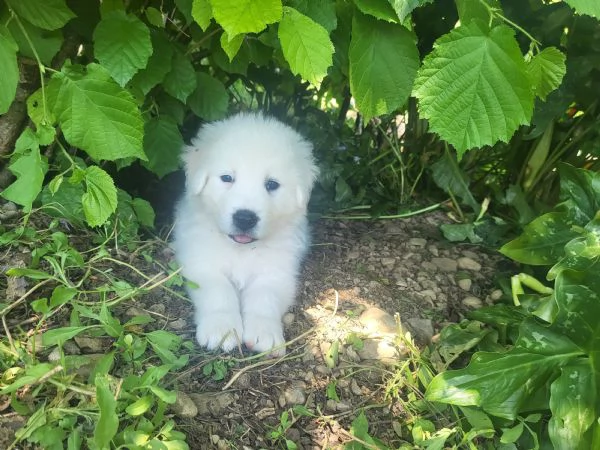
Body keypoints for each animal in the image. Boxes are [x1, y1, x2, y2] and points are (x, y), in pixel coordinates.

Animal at [171, 111, 316, 356]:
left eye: (272, 184)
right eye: (227, 178)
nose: (245, 218)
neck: (241, 249)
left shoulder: (277, 272)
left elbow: (264, 298)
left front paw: (265, 334)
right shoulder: (203, 262)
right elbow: (219, 292)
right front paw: (222, 330)